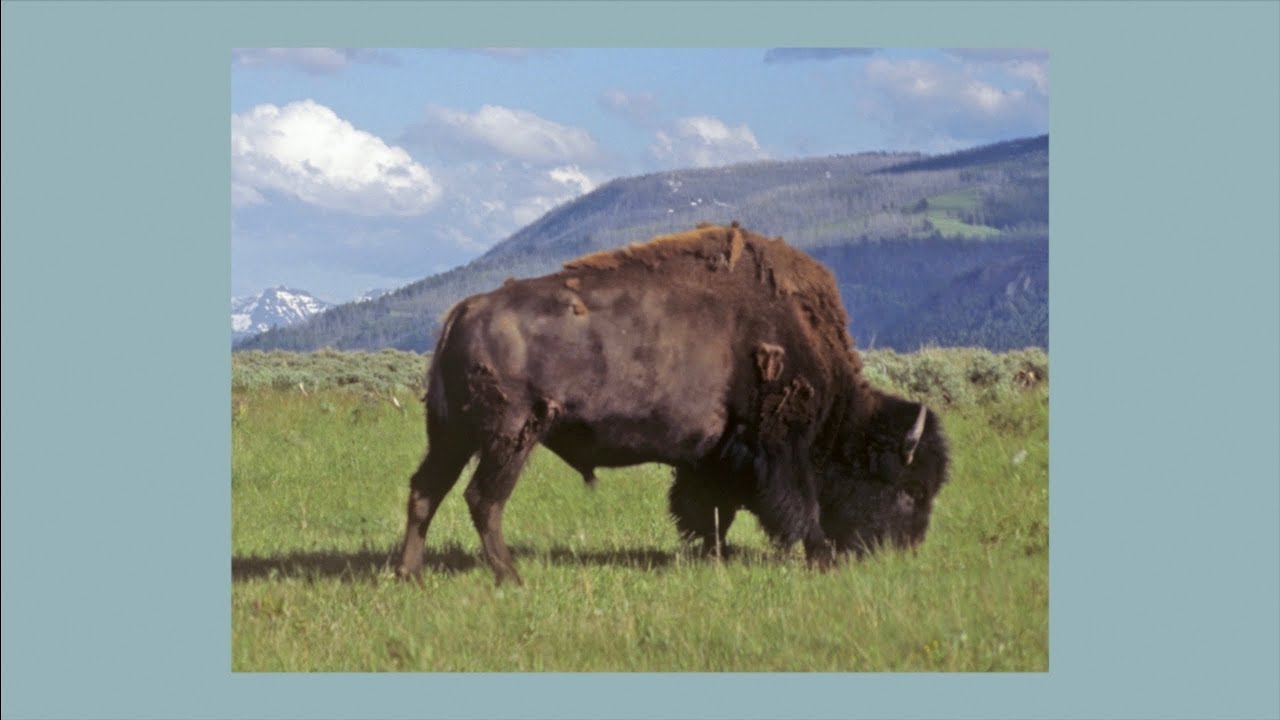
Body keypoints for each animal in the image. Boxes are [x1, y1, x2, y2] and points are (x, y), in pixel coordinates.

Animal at [396, 223, 949, 584]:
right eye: (910, 491)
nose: (906, 550)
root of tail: (466, 309)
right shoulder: (779, 447)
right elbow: (798, 506)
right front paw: (821, 558)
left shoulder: (716, 456)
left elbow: (711, 510)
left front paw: (713, 555)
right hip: (510, 436)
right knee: (483, 499)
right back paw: (511, 577)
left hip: (452, 434)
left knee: (426, 490)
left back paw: (409, 574)